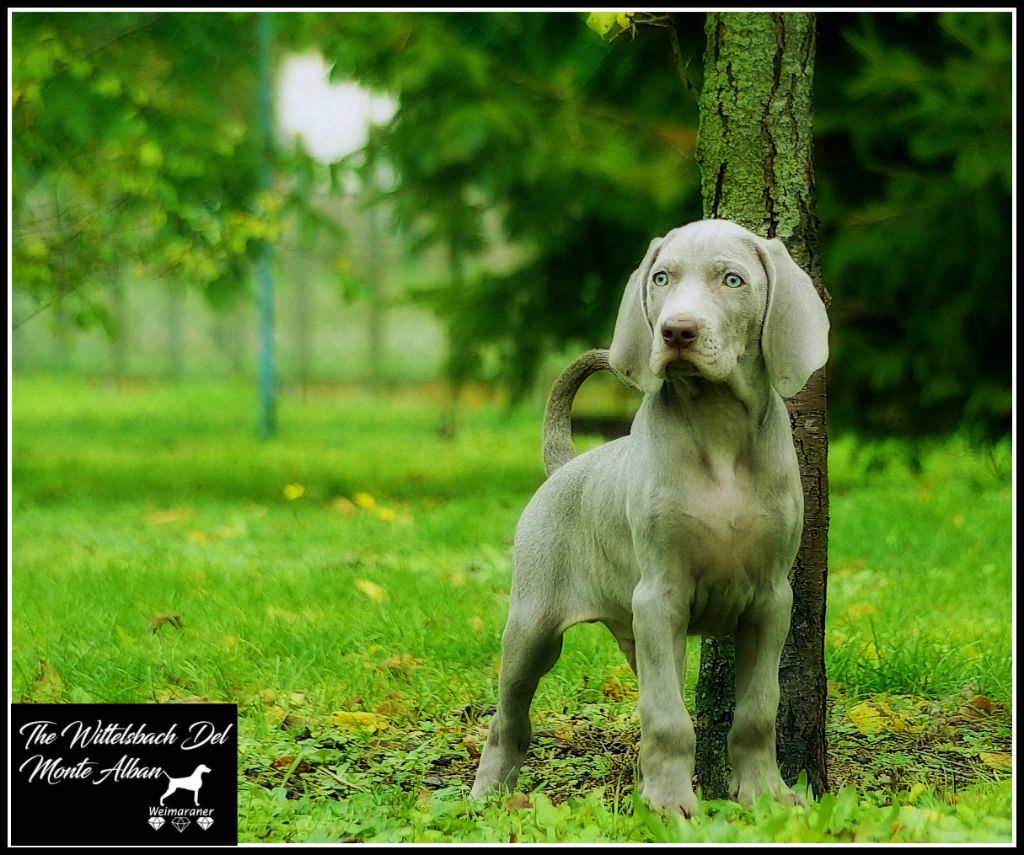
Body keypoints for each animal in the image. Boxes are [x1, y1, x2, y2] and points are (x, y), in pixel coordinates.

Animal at [471, 219, 831, 815]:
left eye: (732, 279)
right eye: (661, 278)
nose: (676, 331)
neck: (719, 430)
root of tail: (563, 467)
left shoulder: (770, 600)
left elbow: (758, 709)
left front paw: (765, 793)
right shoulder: (661, 596)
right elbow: (668, 717)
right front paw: (669, 804)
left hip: (636, 631)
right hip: (534, 624)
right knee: (509, 716)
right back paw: (485, 798)